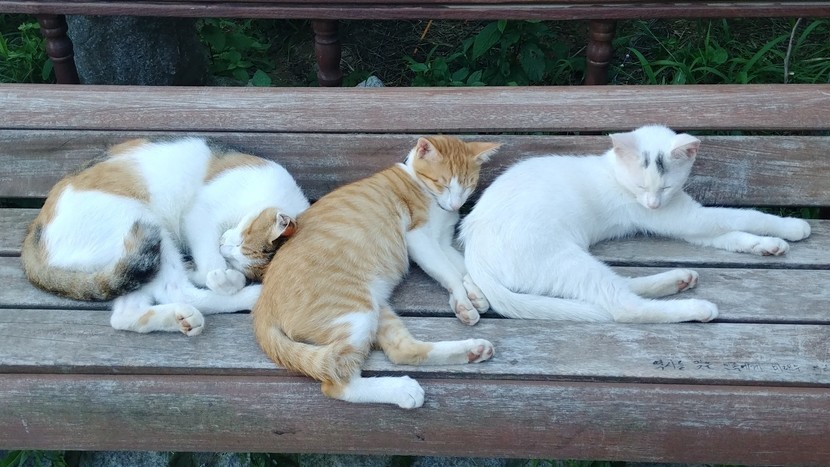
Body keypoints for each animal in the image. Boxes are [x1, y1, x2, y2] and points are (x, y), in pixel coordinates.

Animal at [22, 137, 310, 335]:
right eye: (241, 239)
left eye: (240, 253)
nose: (225, 247)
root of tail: (33, 237)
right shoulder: (198, 214)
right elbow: (210, 261)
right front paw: (222, 278)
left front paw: (217, 273)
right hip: (145, 224)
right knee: (178, 291)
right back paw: (249, 295)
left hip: (133, 259)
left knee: (126, 312)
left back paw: (181, 317)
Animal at [252, 136, 500, 408]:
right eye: (442, 183)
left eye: (467, 186)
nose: (456, 204)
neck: (418, 182)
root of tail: (262, 307)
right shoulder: (419, 239)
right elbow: (449, 272)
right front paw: (464, 301)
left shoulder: (443, 242)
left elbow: (463, 266)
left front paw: (475, 294)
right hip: (355, 312)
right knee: (337, 382)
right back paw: (401, 390)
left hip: (376, 309)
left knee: (402, 351)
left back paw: (472, 351)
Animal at [459, 124, 812, 323]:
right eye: (643, 186)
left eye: (665, 186)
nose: (653, 203)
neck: (615, 173)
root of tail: (473, 254)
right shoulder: (684, 217)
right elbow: (743, 216)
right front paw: (793, 226)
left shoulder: (683, 216)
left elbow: (731, 233)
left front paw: (768, 244)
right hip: (563, 258)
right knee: (623, 306)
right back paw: (696, 308)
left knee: (621, 285)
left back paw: (677, 280)